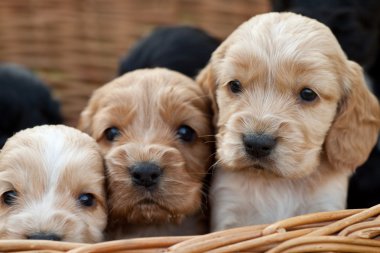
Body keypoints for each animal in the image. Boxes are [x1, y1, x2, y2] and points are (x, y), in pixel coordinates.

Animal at [197, 12, 380, 232]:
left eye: (308, 94)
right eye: (234, 85)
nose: (257, 144)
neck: (279, 183)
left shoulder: (325, 205)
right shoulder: (228, 210)